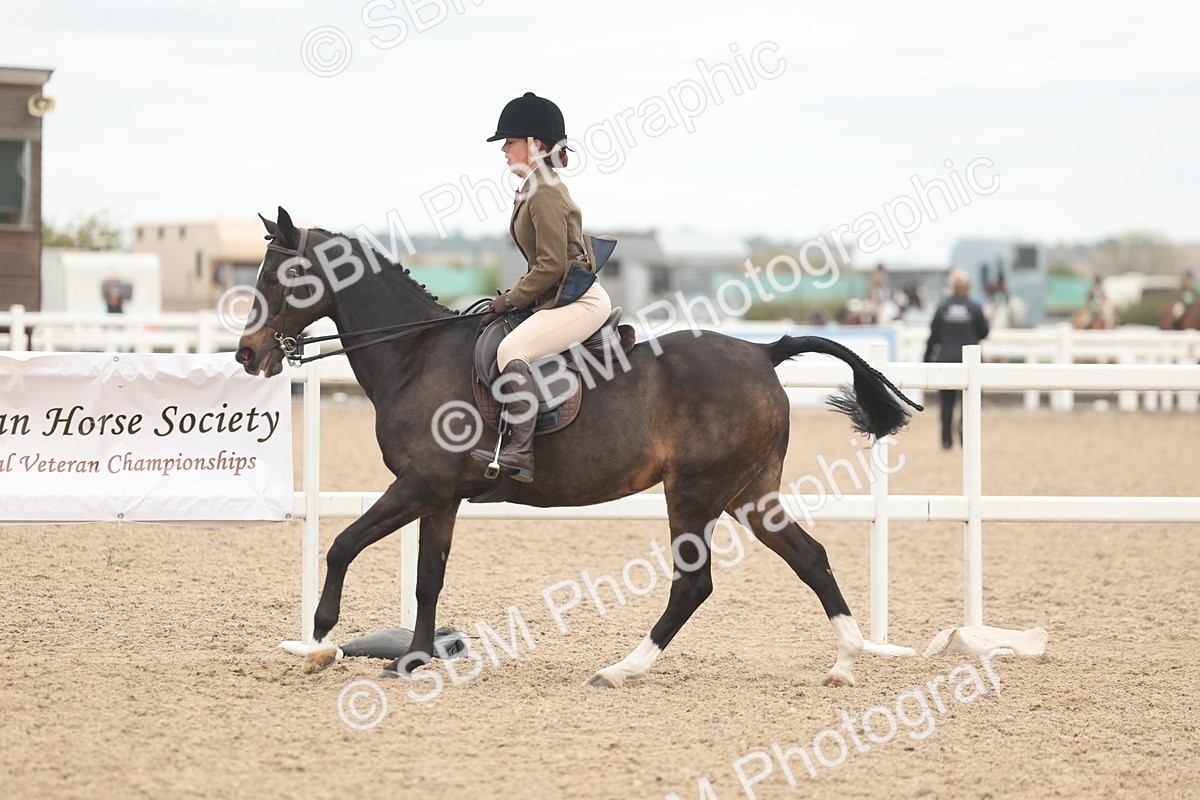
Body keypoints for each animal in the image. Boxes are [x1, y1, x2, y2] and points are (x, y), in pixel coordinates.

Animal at [236, 208, 923, 689]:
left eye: (281, 275)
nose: (247, 353)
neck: (415, 355)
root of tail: (762, 352)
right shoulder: (440, 496)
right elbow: (428, 579)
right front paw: (413, 659)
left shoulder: (417, 485)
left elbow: (342, 545)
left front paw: (318, 645)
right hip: (749, 493)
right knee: (811, 558)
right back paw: (846, 662)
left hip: (695, 493)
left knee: (692, 585)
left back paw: (622, 669)